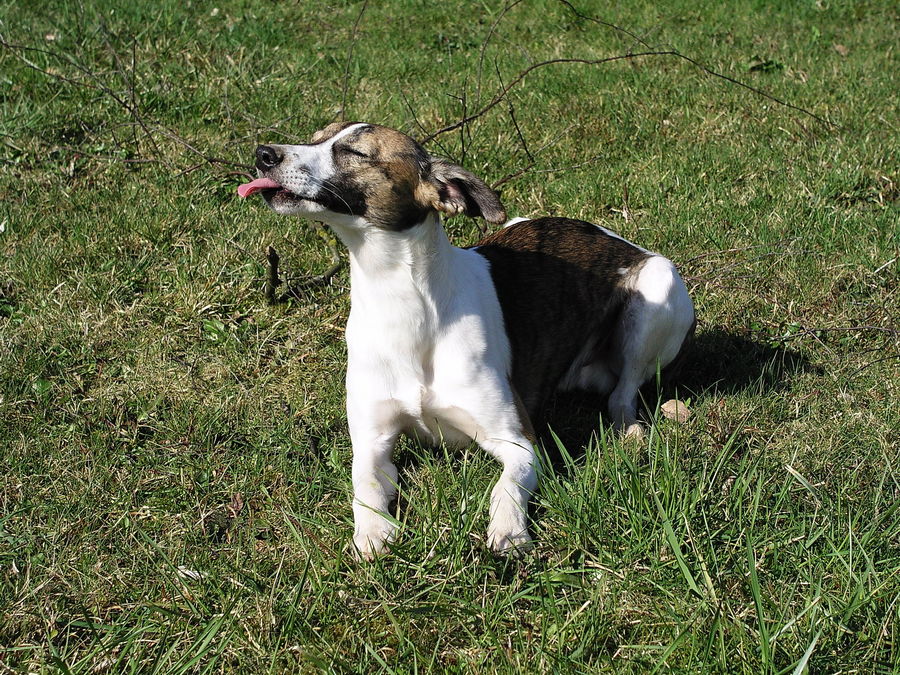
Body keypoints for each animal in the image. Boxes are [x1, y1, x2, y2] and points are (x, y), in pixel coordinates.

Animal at [239, 123, 696, 560]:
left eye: (354, 152)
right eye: (314, 137)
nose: (263, 153)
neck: (405, 307)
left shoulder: (520, 443)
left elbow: (505, 487)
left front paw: (508, 531)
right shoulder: (372, 441)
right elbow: (364, 485)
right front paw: (372, 532)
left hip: (657, 289)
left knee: (623, 393)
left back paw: (629, 432)